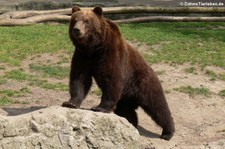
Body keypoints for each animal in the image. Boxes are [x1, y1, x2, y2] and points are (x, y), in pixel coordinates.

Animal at [62, 6, 175, 141]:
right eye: (74, 20)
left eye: (86, 21)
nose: (76, 30)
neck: (94, 47)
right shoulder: (83, 55)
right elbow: (79, 78)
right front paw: (70, 103)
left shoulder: (110, 53)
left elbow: (111, 79)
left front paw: (99, 107)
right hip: (125, 96)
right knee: (125, 110)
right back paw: (132, 123)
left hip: (144, 82)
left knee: (158, 107)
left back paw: (167, 132)